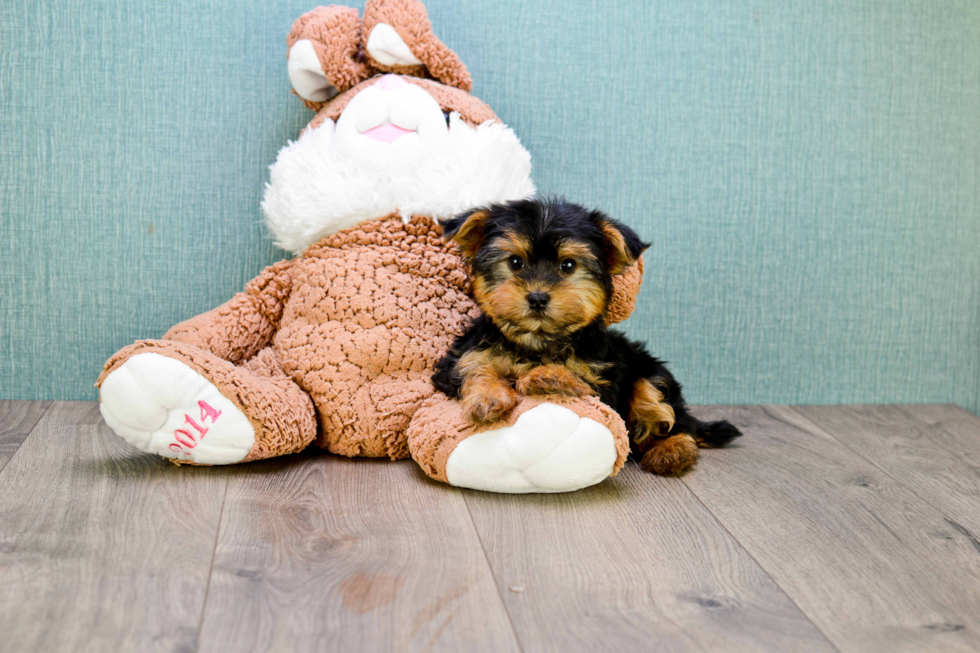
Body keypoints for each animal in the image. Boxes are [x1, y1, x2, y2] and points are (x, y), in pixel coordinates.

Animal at [432, 197, 740, 474]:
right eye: (515, 262)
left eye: (568, 266)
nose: (537, 298)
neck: (537, 340)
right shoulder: (462, 356)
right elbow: (474, 368)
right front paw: (488, 398)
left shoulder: (601, 379)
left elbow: (579, 379)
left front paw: (547, 375)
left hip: (648, 370)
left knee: (665, 413)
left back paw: (672, 451)